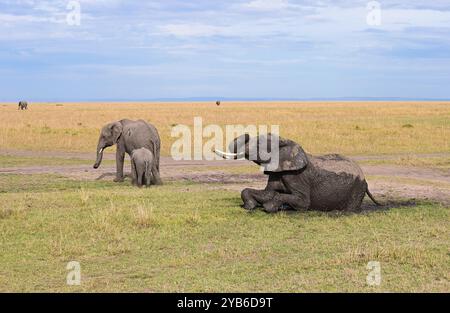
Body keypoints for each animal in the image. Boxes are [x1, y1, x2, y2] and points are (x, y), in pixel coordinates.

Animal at [214, 133, 380, 213]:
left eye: (260, 144)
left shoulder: (297, 175)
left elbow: (303, 201)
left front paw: (270, 207)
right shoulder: (277, 169)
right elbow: (267, 192)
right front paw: (250, 206)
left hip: (357, 188)